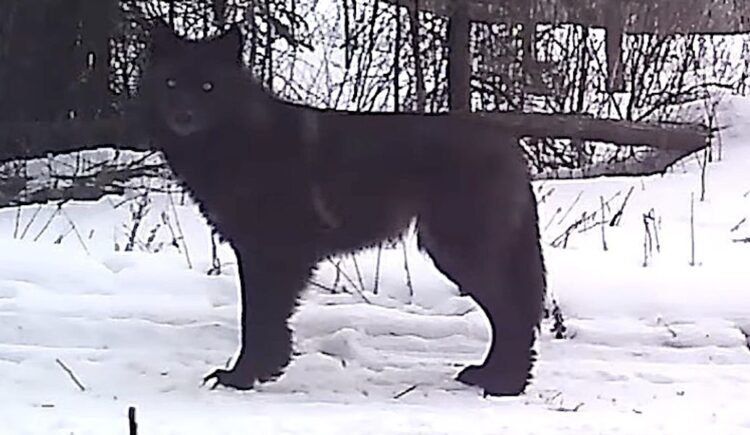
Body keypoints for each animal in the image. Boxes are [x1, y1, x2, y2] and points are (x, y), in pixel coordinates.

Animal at [138, 24, 546, 396]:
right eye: (171, 83)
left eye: (209, 87)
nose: (184, 115)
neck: (242, 138)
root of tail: (509, 145)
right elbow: (260, 320)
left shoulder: (272, 254)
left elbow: (256, 320)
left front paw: (243, 376)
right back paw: (489, 375)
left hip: (459, 252)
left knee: (512, 316)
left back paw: (504, 384)